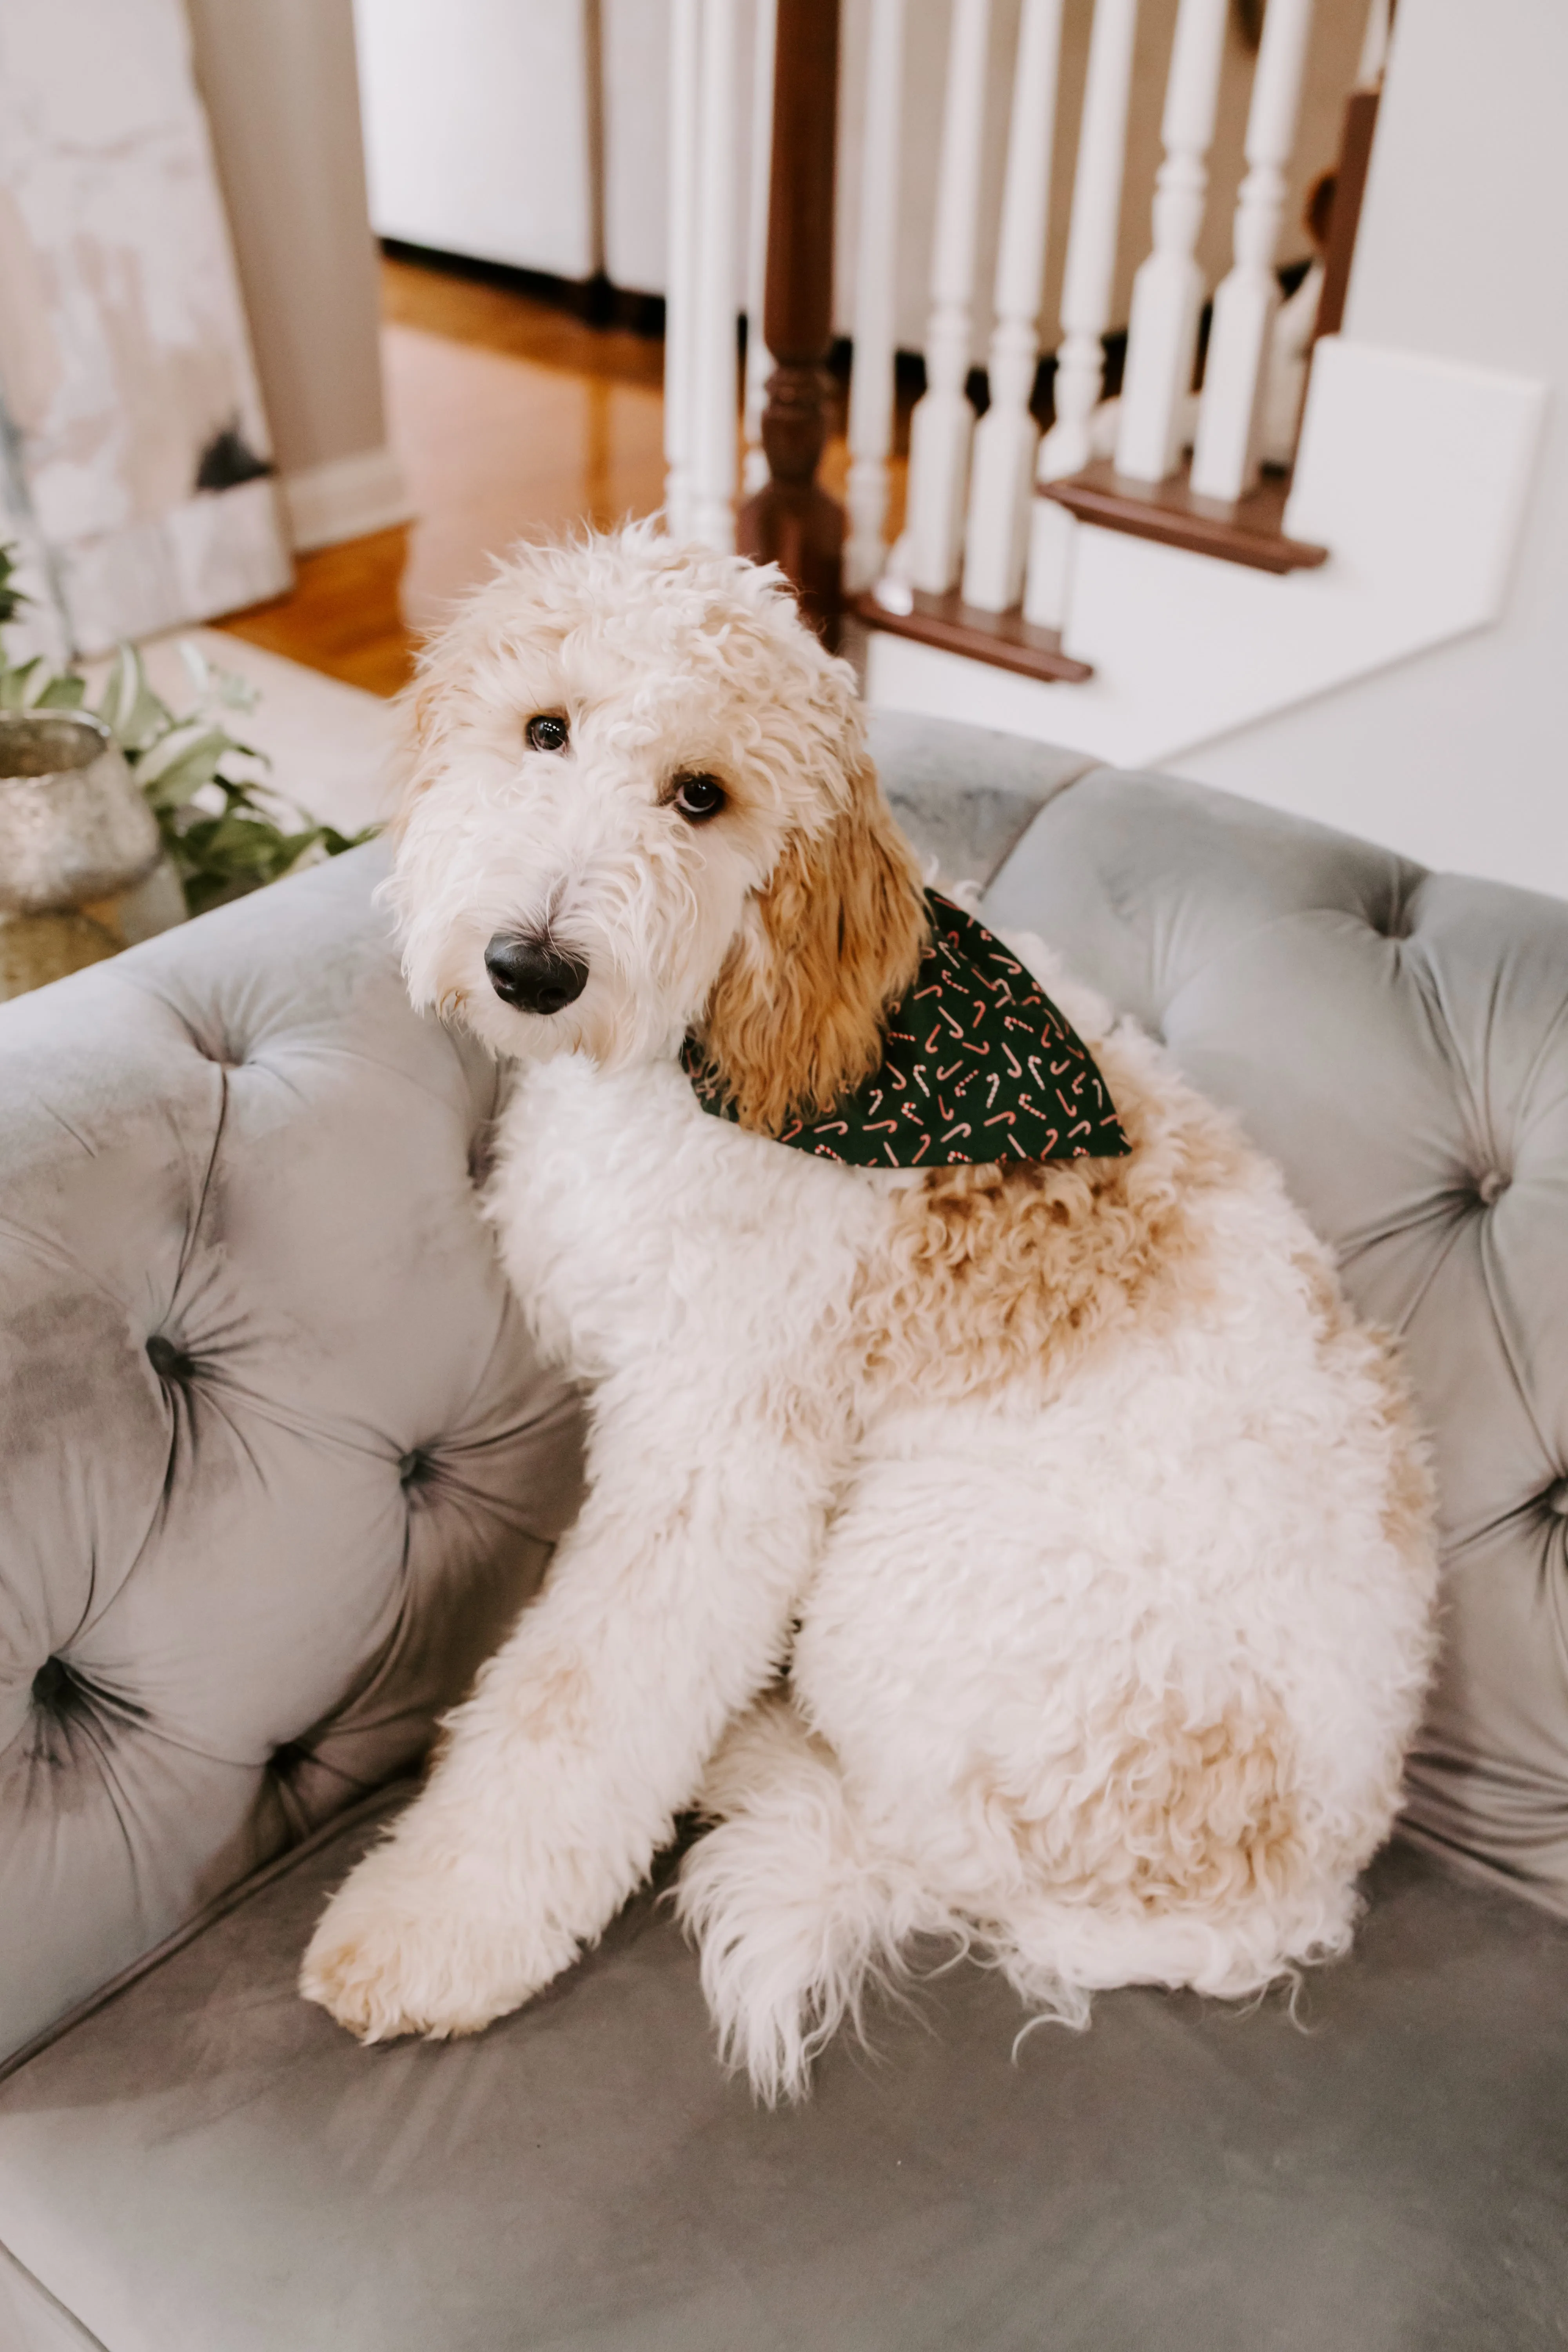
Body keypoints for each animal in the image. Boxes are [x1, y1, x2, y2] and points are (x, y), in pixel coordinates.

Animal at [301, 524, 1439, 2107]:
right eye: (544, 730)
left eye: (701, 796)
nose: (532, 967)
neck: (728, 1047)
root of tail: (1267, 1910)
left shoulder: (717, 1462)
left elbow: (578, 1699)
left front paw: (429, 1929)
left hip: (891, 1584)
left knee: (901, 1834)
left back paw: (753, 1759)